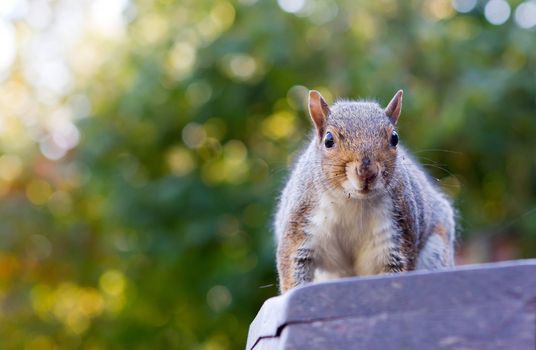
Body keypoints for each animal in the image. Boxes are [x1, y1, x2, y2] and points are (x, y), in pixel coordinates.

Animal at [274, 89, 454, 292]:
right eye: (328, 140)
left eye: (395, 138)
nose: (367, 172)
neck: (352, 201)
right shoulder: (301, 222)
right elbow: (293, 264)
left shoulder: (398, 232)